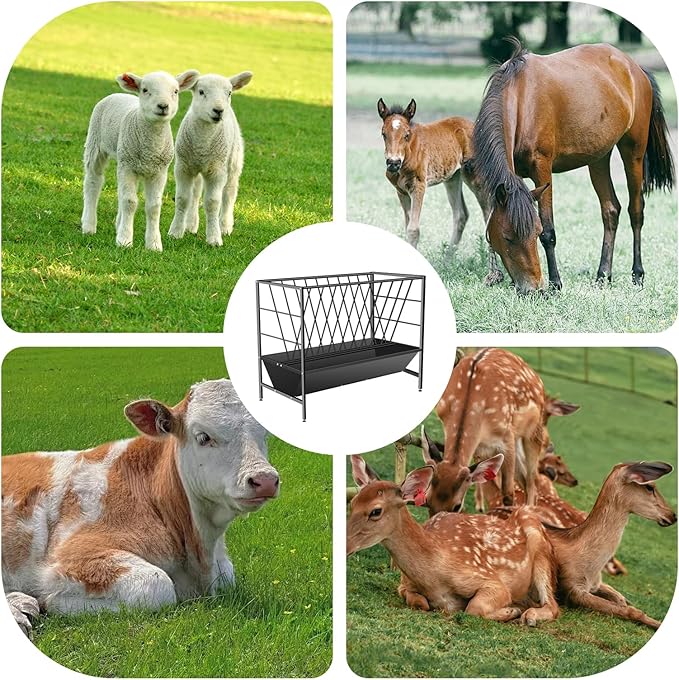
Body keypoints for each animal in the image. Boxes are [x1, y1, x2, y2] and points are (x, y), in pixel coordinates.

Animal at [81, 70, 199, 250]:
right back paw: (88, 225)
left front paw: (154, 244)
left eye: (175, 91)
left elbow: (153, 207)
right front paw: (124, 241)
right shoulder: (128, 167)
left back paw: (118, 223)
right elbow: (130, 202)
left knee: (120, 191)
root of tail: (118, 94)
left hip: (124, 157)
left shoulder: (159, 171)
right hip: (96, 143)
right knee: (93, 182)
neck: (150, 147)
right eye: (145, 90)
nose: (163, 106)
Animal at [168, 72, 253, 247]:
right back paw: (191, 224)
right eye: (201, 92)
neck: (203, 144)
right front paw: (176, 231)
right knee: (195, 194)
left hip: (233, 162)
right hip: (197, 167)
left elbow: (213, 203)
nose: (218, 110)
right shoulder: (183, 168)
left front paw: (214, 238)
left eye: (229, 93)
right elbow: (182, 199)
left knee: (229, 194)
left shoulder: (217, 171)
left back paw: (225, 226)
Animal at [377, 98, 503, 285]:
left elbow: (413, 229)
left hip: (474, 177)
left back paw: (492, 273)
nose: (393, 163)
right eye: (383, 134)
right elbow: (407, 226)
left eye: (406, 134)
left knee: (487, 213)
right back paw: (447, 262)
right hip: (453, 178)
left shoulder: (419, 187)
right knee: (461, 214)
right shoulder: (401, 191)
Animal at [469, 40, 675, 294]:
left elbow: (549, 231)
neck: (521, 99)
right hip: (598, 158)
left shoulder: (542, 170)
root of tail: (635, 68)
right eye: (507, 237)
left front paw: (555, 284)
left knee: (635, 211)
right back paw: (603, 276)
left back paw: (637, 275)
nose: (532, 288)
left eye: (535, 233)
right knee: (611, 210)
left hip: (633, 152)